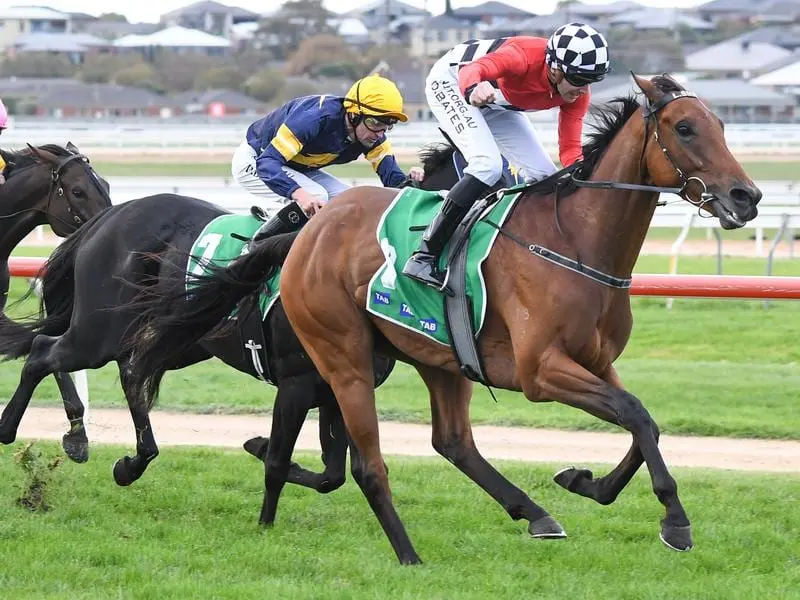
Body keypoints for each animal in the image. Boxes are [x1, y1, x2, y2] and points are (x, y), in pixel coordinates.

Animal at [0, 143, 476, 524]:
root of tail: (108, 218)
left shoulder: (338, 386)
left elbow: (332, 474)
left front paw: (257, 444)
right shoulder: (299, 382)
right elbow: (293, 463)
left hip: (178, 337)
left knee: (131, 372)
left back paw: (130, 461)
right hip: (100, 329)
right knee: (44, 352)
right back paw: (21, 432)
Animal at [125, 76, 764, 564]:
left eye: (722, 125)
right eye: (684, 128)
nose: (747, 197)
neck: (573, 241)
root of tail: (310, 230)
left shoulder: (596, 363)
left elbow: (642, 420)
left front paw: (586, 482)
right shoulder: (541, 371)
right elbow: (634, 415)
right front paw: (674, 520)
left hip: (438, 355)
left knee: (452, 441)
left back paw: (535, 513)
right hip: (343, 360)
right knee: (369, 465)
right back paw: (409, 554)